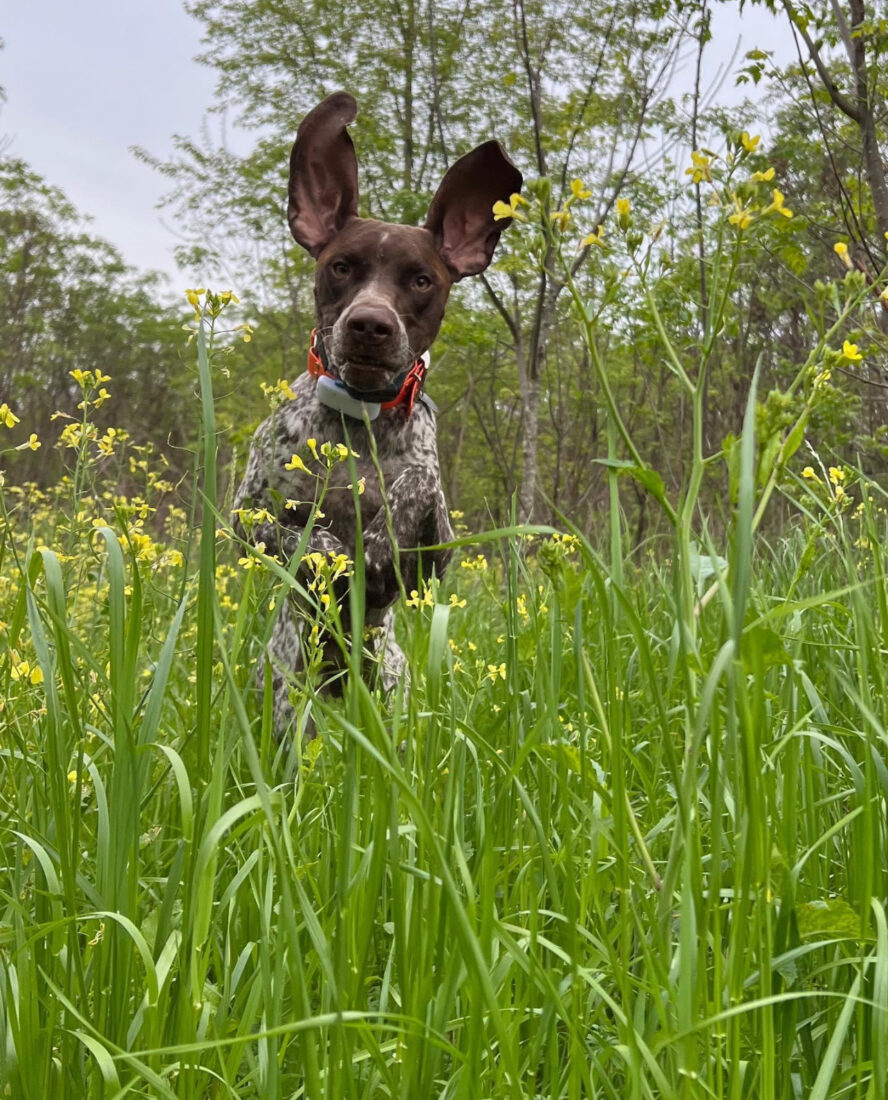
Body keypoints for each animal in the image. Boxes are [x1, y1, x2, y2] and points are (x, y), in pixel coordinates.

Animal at [232, 88, 521, 739]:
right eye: (341, 266)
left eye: (421, 280)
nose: (370, 324)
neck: (360, 418)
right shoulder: (244, 515)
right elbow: (305, 536)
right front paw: (336, 553)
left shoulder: (440, 549)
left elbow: (419, 483)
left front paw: (382, 540)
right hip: (287, 702)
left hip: (394, 692)